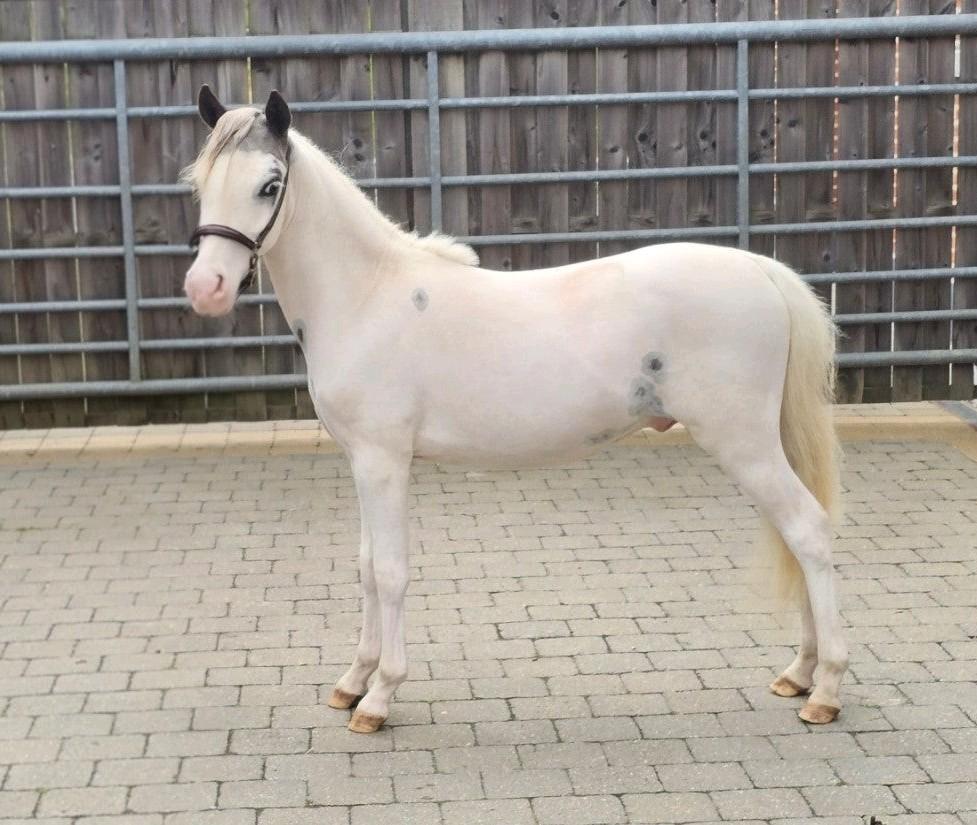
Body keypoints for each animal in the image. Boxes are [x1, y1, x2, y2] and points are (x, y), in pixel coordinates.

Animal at [183, 86, 847, 734]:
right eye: (201, 182)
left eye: (270, 185)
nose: (205, 288)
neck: (367, 295)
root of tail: (761, 269)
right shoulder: (362, 462)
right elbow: (368, 567)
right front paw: (352, 683)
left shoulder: (383, 461)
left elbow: (392, 571)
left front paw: (379, 698)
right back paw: (800, 674)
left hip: (744, 443)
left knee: (809, 532)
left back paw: (825, 690)